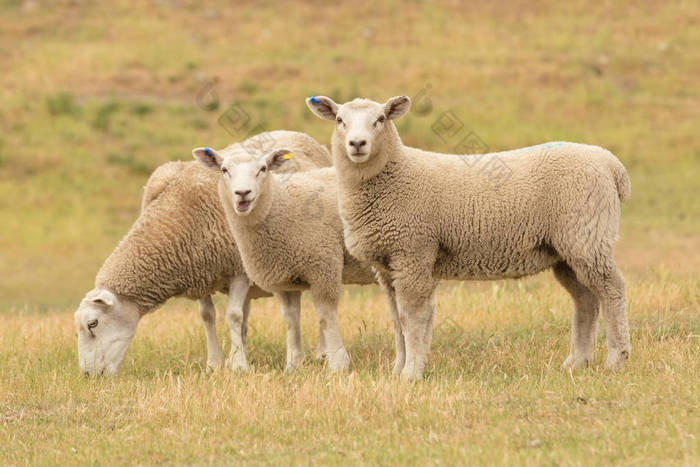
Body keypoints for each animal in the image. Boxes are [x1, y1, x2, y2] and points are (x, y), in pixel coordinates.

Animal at [74, 131, 334, 376]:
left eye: (92, 324)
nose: (88, 375)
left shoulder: (239, 270)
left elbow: (233, 316)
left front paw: (238, 366)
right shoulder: (200, 271)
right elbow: (208, 316)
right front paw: (215, 364)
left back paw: (322, 352)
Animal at [191, 147, 378, 372]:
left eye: (263, 169)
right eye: (224, 170)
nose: (243, 193)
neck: (280, 203)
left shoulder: (324, 266)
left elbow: (326, 317)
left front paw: (338, 364)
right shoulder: (284, 278)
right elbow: (290, 319)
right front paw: (293, 365)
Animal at [308, 94, 632, 380]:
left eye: (380, 119)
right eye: (340, 120)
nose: (357, 144)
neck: (394, 176)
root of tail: (613, 166)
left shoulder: (414, 252)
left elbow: (412, 318)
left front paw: (411, 373)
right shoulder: (388, 265)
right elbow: (397, 319)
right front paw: (397, 370)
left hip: (587, 236)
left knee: (612, 289)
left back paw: (616, 359)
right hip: (565, 250)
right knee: (586, 299)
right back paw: (577, 362)